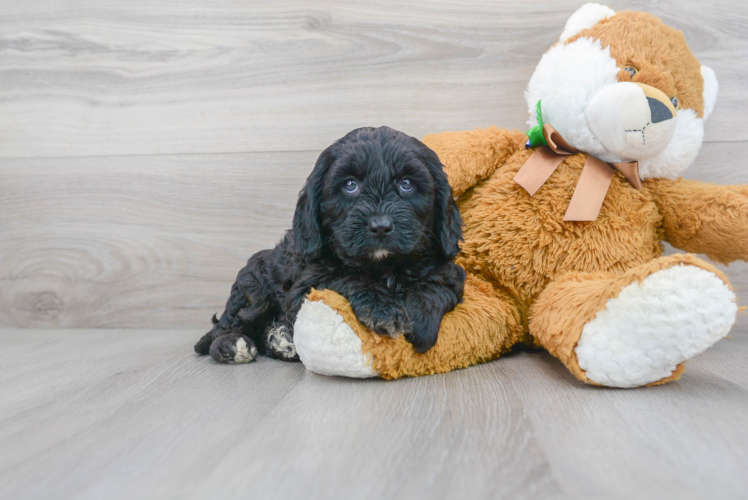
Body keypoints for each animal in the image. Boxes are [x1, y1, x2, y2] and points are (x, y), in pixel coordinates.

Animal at [194, 126, 462, 364]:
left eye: (406, 183)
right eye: (350, 185)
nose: (380, 225)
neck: (384, 266)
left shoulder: (448, 270)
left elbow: (437, 286)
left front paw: (419, 320)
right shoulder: (307, 284)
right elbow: (347, 278)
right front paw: (383, 311)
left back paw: (282, 342)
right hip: (254, 287)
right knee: (227, 325)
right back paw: (233, 344)